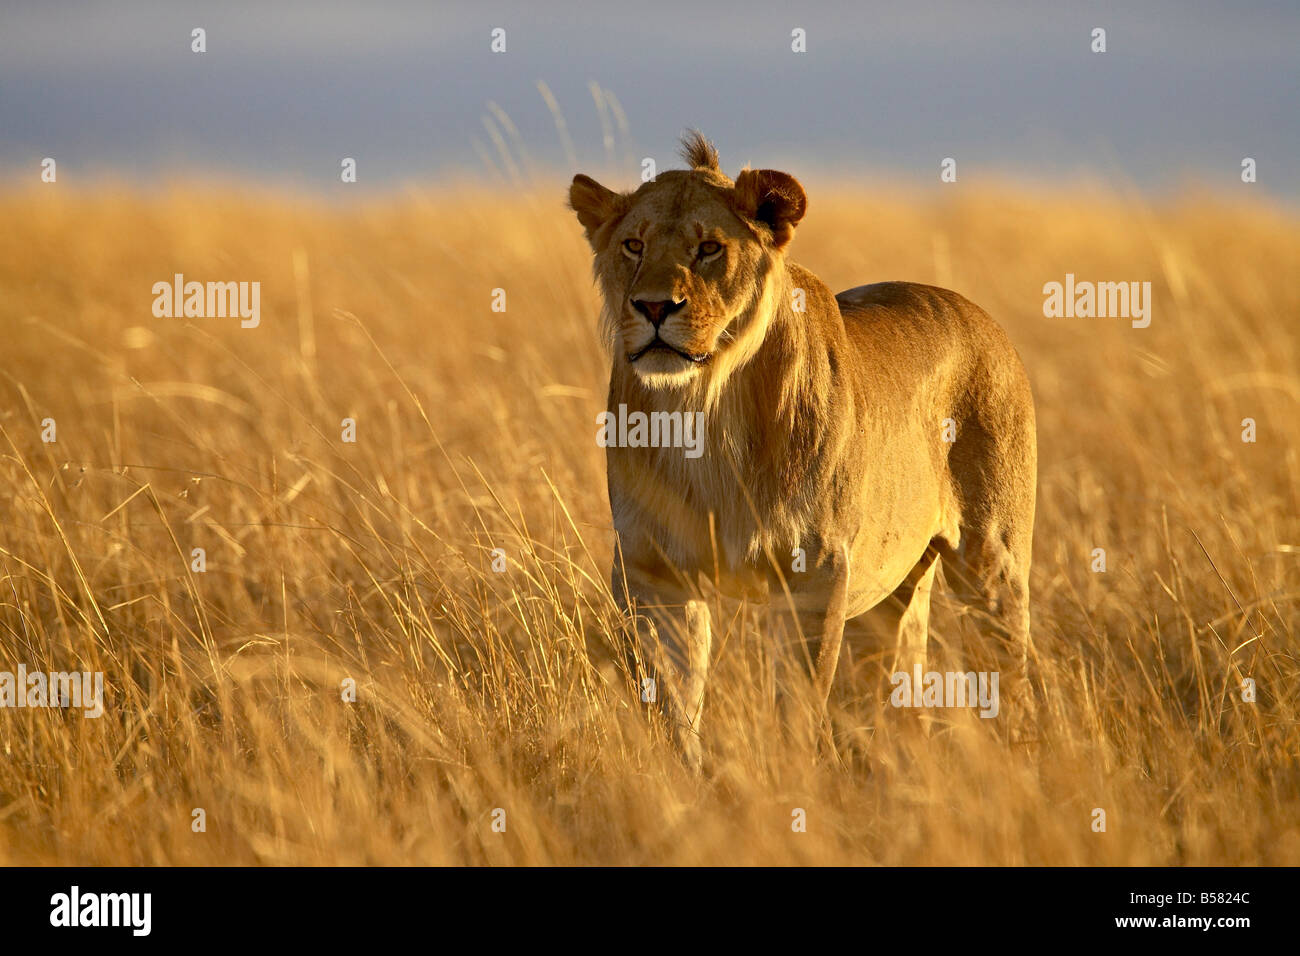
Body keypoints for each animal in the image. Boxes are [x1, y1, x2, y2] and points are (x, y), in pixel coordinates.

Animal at [570, 132, 1037, 766]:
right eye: (633, 245)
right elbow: (672, 702)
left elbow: (796, 706)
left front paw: (792, 778)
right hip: (887, 595)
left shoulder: (814, 574)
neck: (704, 407)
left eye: (709, 249)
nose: (654, 307)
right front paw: (683, 780)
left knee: (1009, 671)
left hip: (991, 564)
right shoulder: (653, 571)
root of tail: (983, 317)